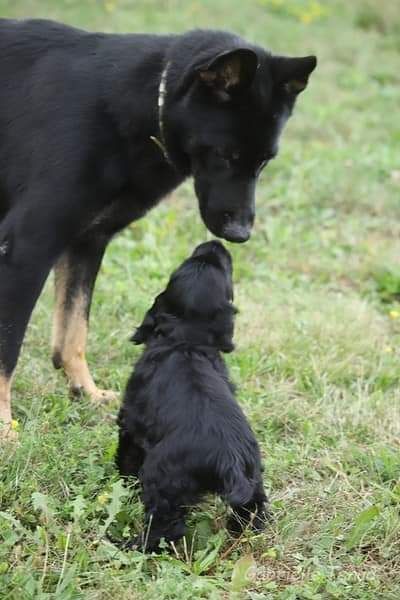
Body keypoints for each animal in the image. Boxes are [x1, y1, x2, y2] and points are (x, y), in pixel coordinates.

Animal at [0, 16, 316, 434]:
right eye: (224, 154)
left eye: (265, 161)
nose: (240, 235)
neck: (145, 102)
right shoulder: (28, 248)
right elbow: (8, 347)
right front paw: (5, 428)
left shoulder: (88, 241)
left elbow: (74, 330)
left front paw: (86, 391)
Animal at [117, 241, 268, 552]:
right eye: (221, 268)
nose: (215, 244)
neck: (186, 340)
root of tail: (231, 461)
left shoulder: (129, 421)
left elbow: (126, 455)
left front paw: (122, 480)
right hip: (255, 476)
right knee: (252, 511)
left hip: (162, 479)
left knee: (166, 527)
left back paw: (132, 545)